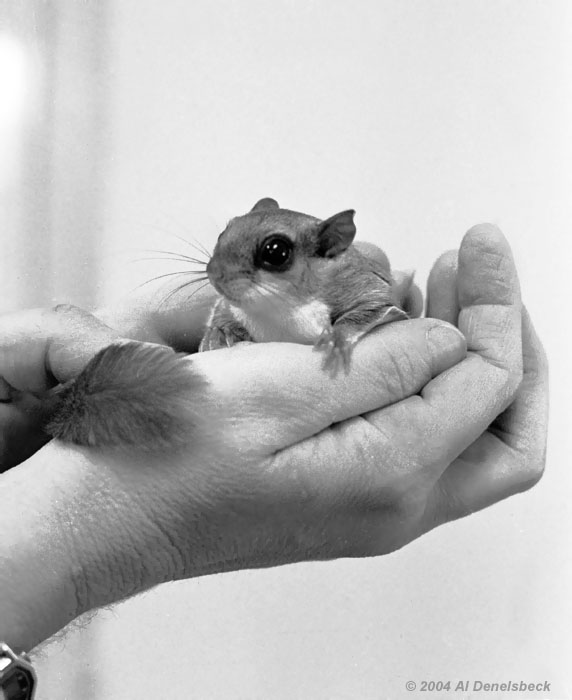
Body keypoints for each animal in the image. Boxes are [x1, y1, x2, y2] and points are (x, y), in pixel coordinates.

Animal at [42, 198, 414, 448]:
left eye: (276, 251)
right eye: (225, 230)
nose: (214, 273)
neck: (278, 310)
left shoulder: (366, 289)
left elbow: (370, 310)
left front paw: (337, 339)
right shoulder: (231, 305)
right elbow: (222, 310)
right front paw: (217, 335)